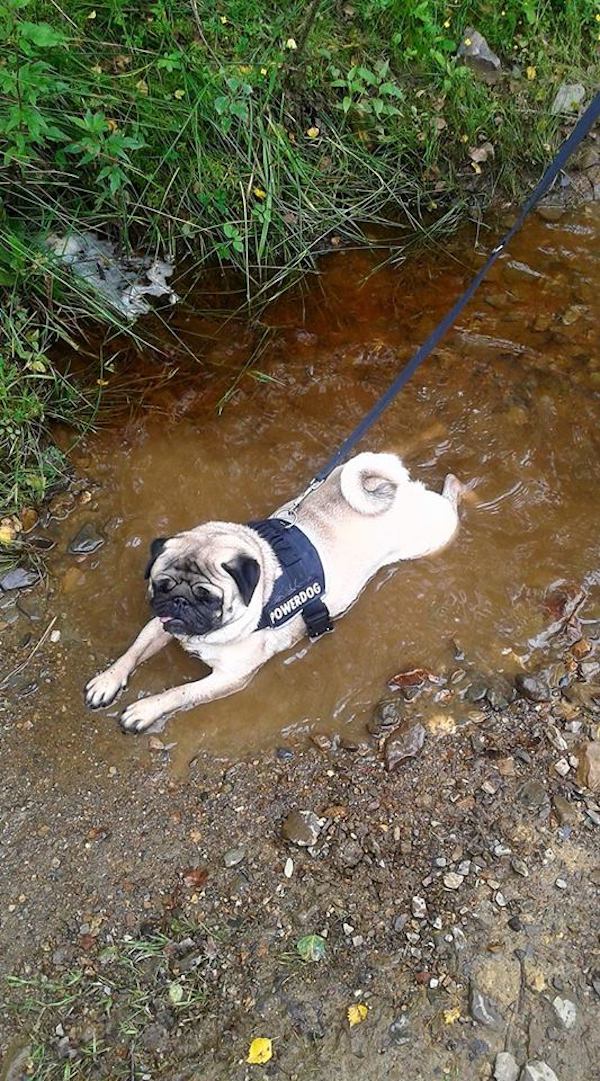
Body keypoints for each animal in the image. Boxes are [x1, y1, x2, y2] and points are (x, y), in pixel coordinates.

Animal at [85, 451, 464, 730]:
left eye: (208, 597)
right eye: (161, 586)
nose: (179, 601)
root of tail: (398, 491)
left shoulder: (229, 677)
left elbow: (178, 692)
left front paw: (144, 709)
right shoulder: (160, 624)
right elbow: (133, 650)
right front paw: (107, 680)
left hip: (433, 535)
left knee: (451, 502)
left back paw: (455, 485)